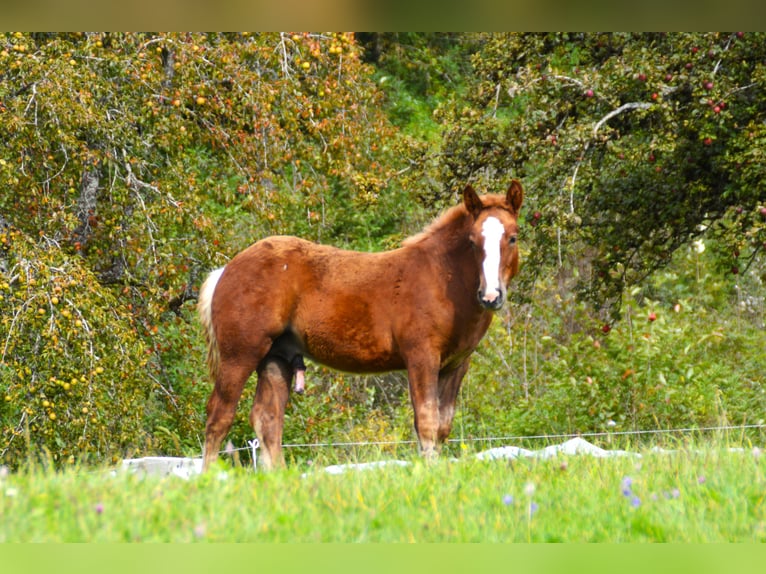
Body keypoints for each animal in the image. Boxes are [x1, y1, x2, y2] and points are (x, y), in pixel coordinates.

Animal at [198, 181, 524, 472]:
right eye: (472, 240)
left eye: (512, 237)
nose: (491, 296)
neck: (443, 278)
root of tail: (226, 270)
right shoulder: (421, 357)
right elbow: (426, 421)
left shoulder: (456, 364)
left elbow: (443, 426)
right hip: (239, 355)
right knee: (219, 416)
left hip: (276, 358)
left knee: (267, 419)